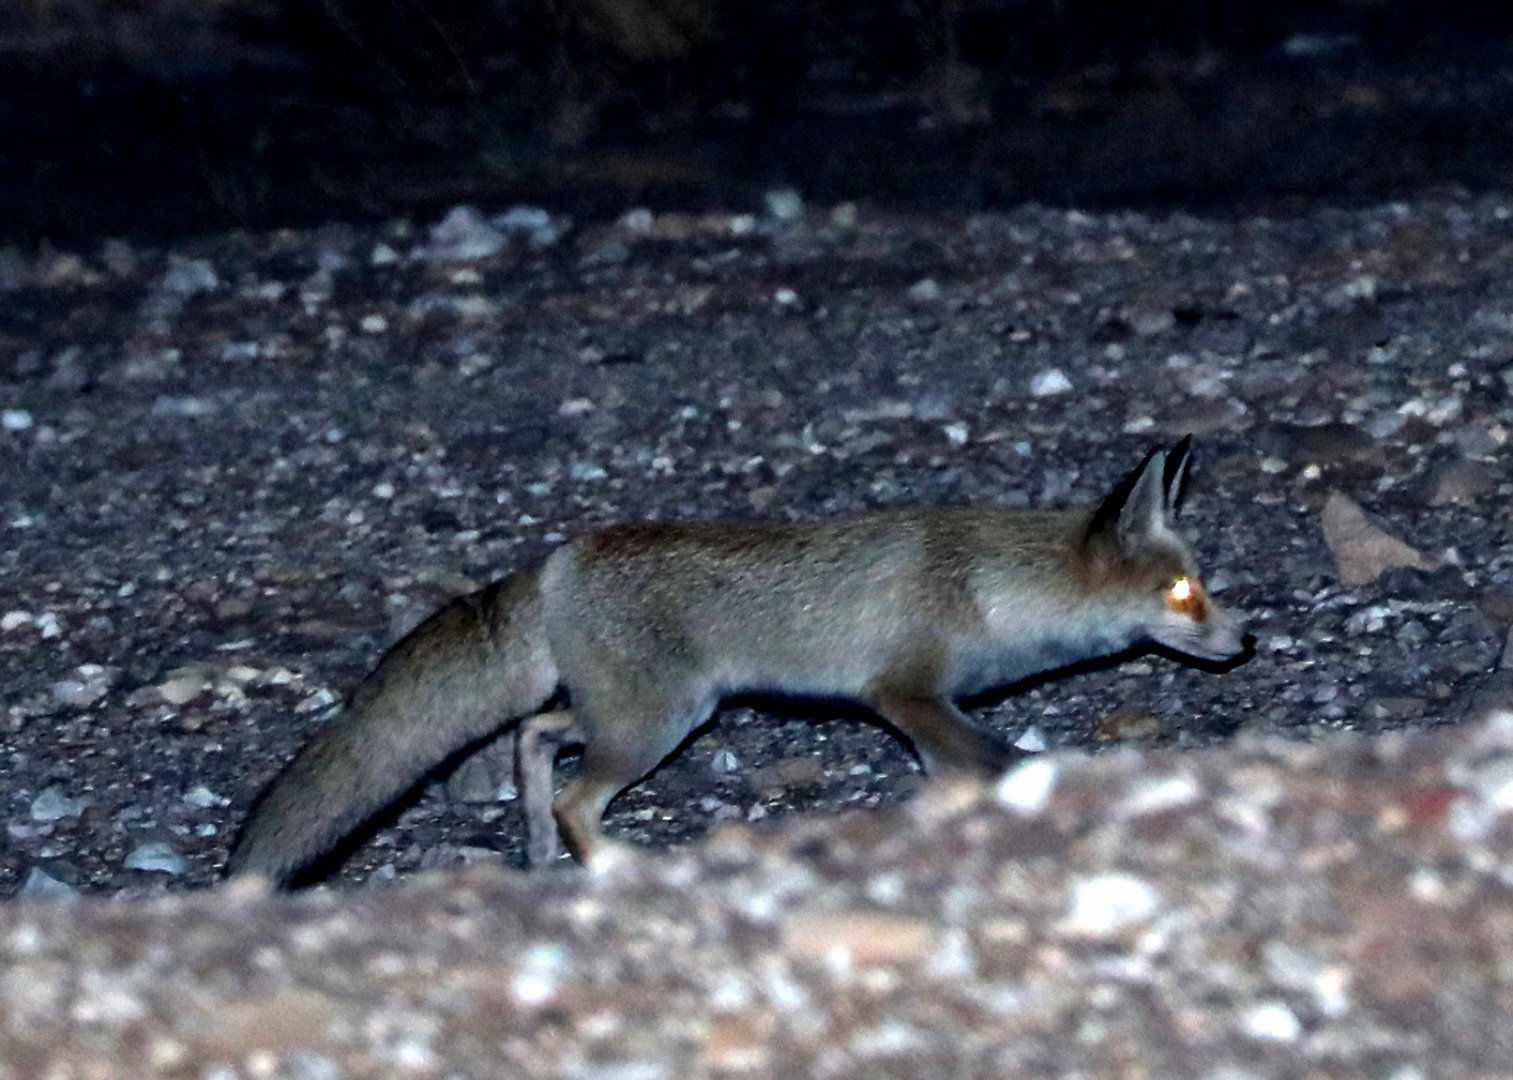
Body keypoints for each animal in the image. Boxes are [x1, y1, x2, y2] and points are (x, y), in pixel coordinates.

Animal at [226, 436, 1248, 885]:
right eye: (1180, 594)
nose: (1244, 641)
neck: (988, 585)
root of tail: (558, 558)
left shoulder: (925, 719)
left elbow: (957, 781)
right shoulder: (905, 695)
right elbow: (999, 761)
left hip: (642, 714)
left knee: (535, 736)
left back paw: (538, 849)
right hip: (657, 725)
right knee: (574, 793)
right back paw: (611, 865)